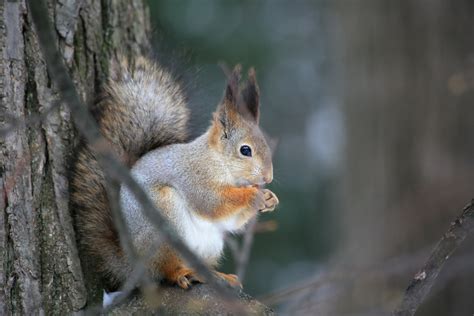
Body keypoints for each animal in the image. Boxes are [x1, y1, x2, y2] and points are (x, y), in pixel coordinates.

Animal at [70, 56, 278, 292]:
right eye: (245, 150)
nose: (268, 178)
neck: (218, 162)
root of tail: (136, 264)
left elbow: (231, 222)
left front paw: (270, 198)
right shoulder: (193, 175)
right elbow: (212, 203)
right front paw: (254, 195)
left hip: (210, 244)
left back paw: (218, 275)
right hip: (164, 219)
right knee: (166, 270)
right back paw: (182, 273)